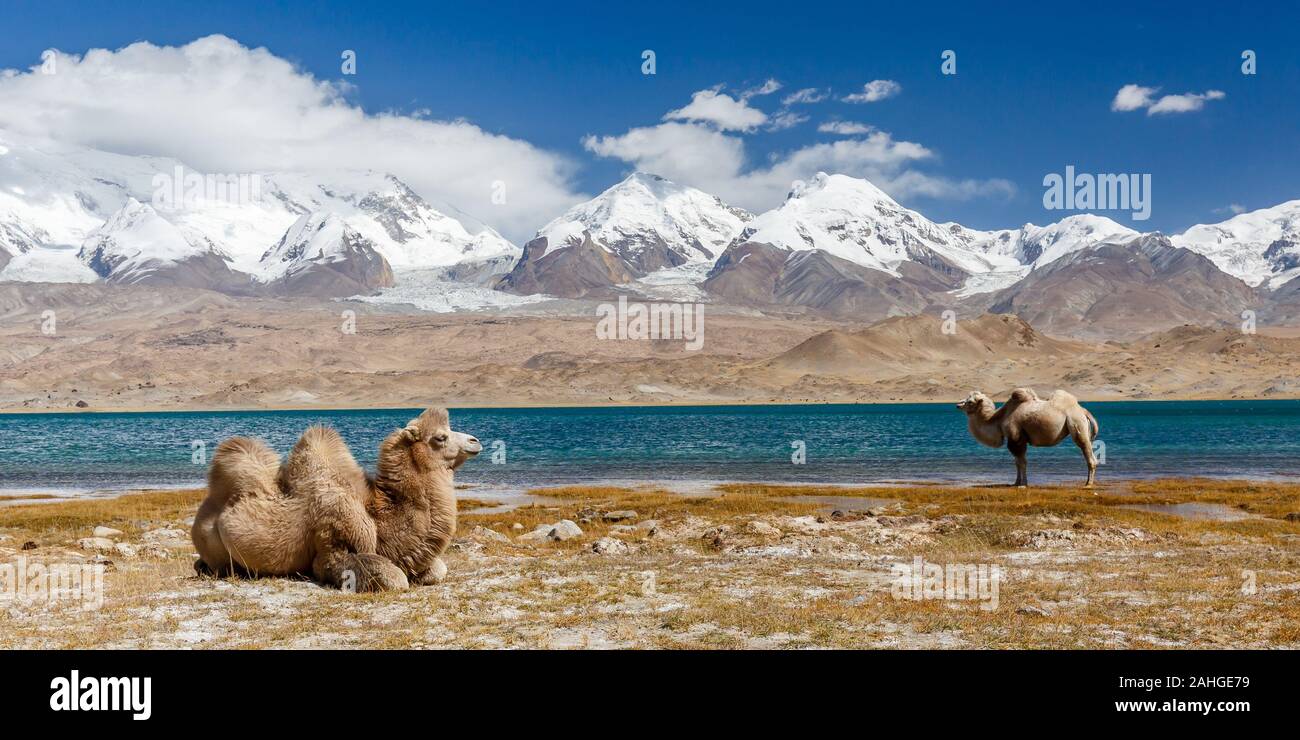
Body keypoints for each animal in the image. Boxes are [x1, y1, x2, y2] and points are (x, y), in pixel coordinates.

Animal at [189, 405, 480, 590]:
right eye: (440, 437)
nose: (475, 441)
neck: (377, 517)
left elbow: (438, 570)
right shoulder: (333, 550)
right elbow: (395, 579)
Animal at [956, 390, 1097, 486]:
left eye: (970, 402)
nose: (957, 405)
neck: (998, 419)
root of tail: (1083, 411)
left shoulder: (1016, 438)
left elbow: (1022, 462)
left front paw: (1023, 484)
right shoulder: (1015, 439)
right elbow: (1017, 462)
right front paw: (1016, 482)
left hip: (1077, 423)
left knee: (1088, 453)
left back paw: (1088, 484)